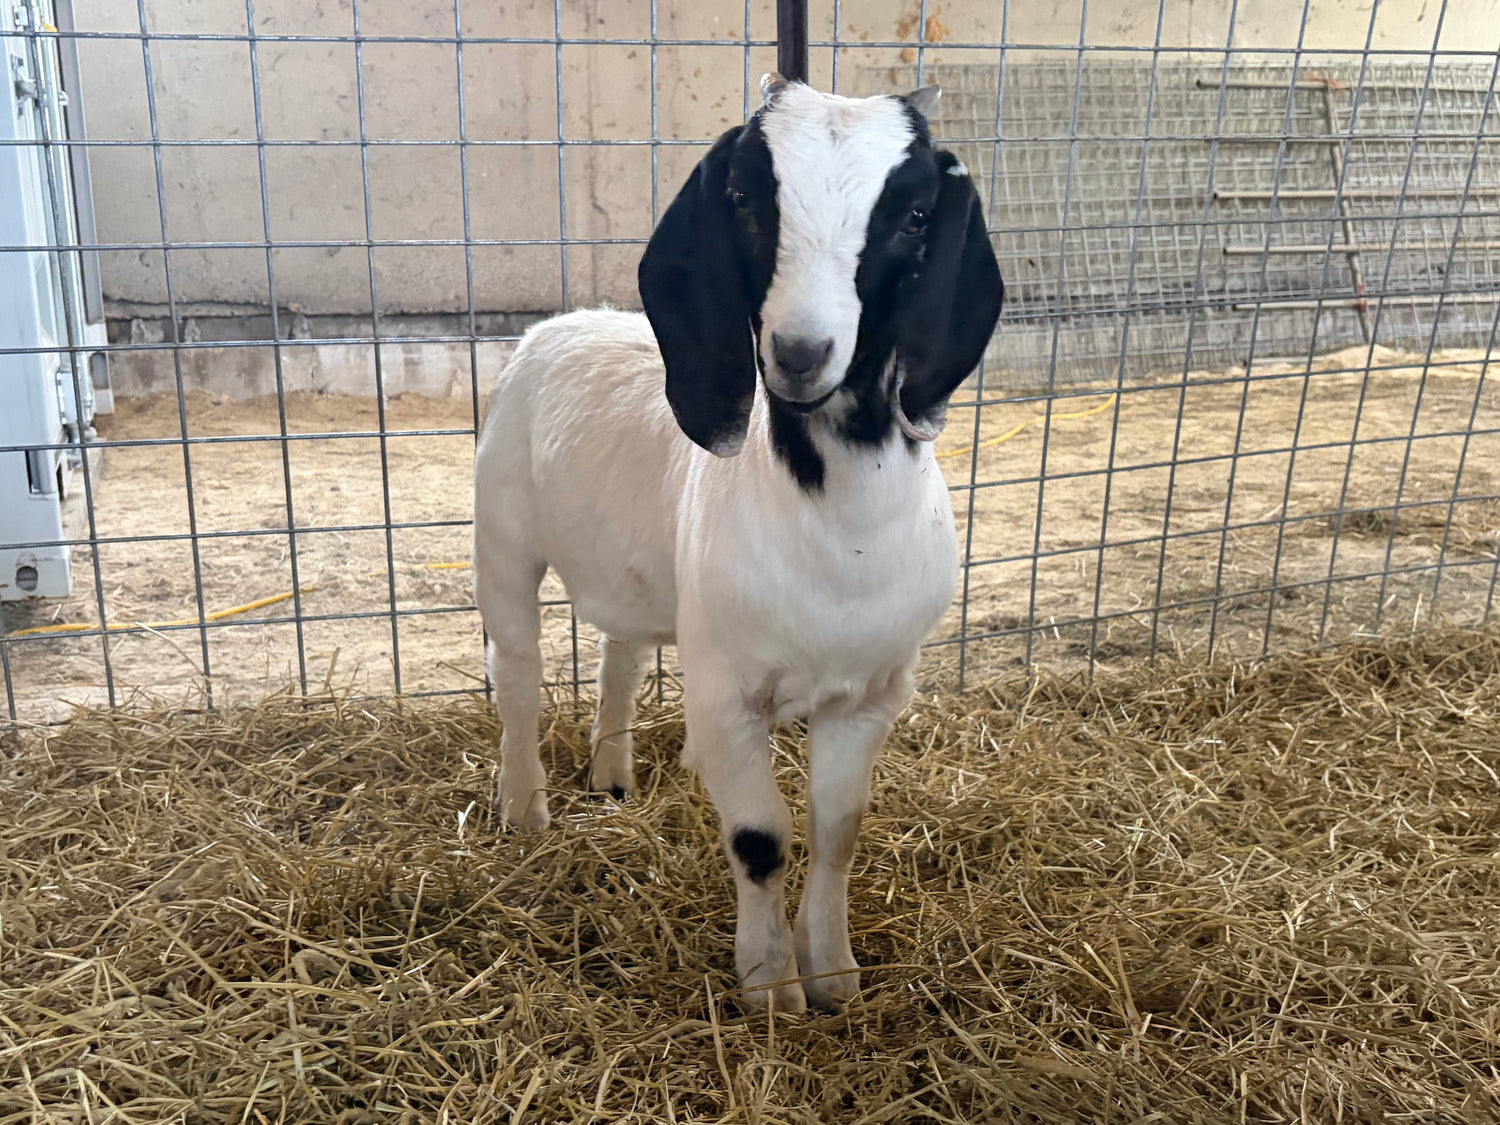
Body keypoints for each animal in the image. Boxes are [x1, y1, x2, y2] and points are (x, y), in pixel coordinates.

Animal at [472, 76, 1003, 1013]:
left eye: (913, 216)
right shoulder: (725, 688)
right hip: (501, 539)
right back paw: (526, 808)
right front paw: (769, 986)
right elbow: (761, 836)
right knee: (522, 679)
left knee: (619, 656)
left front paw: (834, 972)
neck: (836, 528)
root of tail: (560, 324)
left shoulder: (873, 692)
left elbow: (837, 827)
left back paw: (612, 776)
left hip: (639, 578)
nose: (799, 352)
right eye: (749, 200)